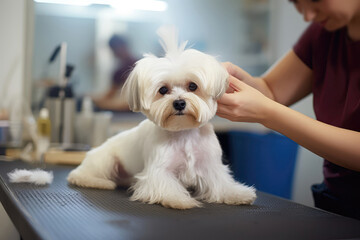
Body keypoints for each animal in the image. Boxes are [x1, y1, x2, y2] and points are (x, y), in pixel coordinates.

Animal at [67, 26, 258, 209]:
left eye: (193, 86)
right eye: (163, 90)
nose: (179, 103)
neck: (184, 132)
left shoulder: (210, 166)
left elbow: (221, 184)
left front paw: (237, 194)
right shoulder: (158, 170)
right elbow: (165, 186)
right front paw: (179, 200)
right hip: (105, 160)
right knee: (78, 175)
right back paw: (98, 182)